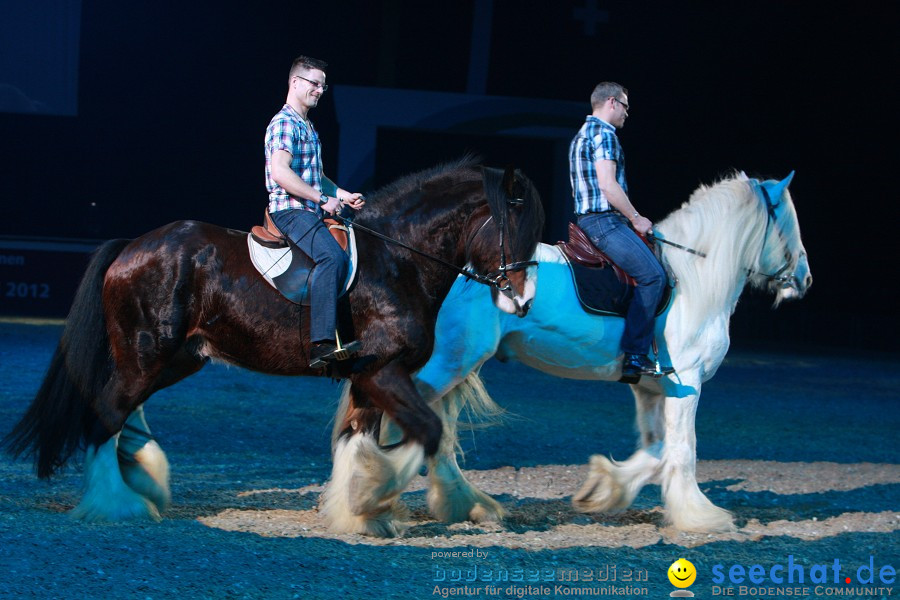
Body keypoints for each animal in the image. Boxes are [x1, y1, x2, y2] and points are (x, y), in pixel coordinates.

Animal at [3, 159, 544, 528]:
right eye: (513, 227)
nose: (523, 300)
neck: (397, 260)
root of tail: (131, 246)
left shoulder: (367, 378)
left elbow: (359, 441)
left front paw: (355, 513)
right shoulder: (383, 371)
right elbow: (426, 432)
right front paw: (376, 502)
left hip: (174, 360)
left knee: (121, 415)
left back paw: (141, 483)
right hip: (145, 355)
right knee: (106, 416)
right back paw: (116, 506)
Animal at [330, 170, 808, 536]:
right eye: (787, 222)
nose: (804, 278)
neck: (692, 277)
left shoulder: (653, 389)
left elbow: (657, 451)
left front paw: (602, 488)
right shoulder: (686, 384)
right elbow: (683, 451)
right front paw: (700, 516)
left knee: (421, 430)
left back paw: (452, 502)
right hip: (443, 365)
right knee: (400, 424)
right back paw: (372, 496)